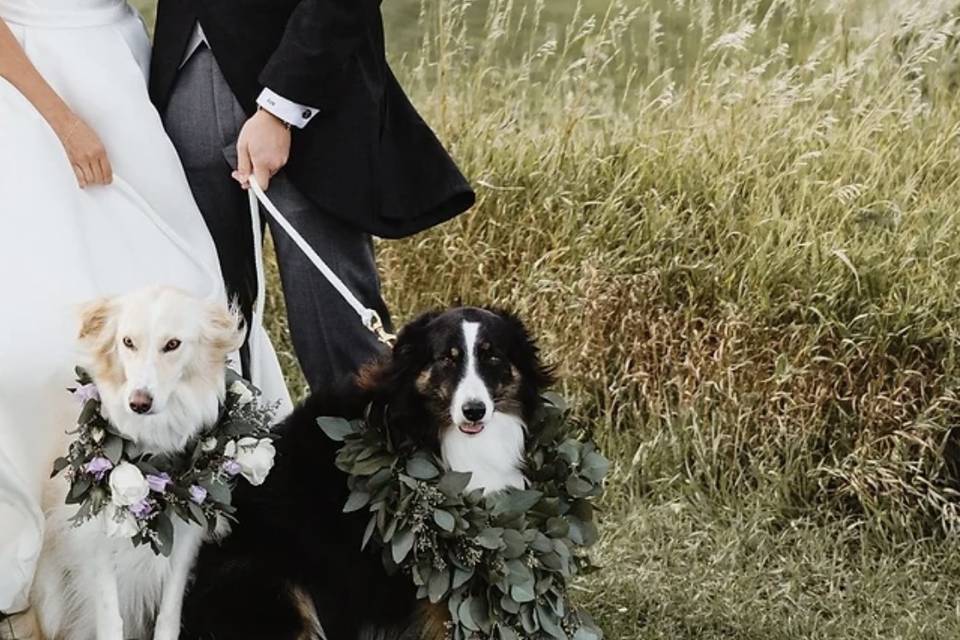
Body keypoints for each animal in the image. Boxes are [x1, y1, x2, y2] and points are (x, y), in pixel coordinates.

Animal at [30, 288, 248, 640]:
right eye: (128, 342)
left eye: (172, 344)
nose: (139, 403)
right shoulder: (98, 538)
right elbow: (110, 619)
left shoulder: (185, 539)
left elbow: (169, 614)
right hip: (50, 603)